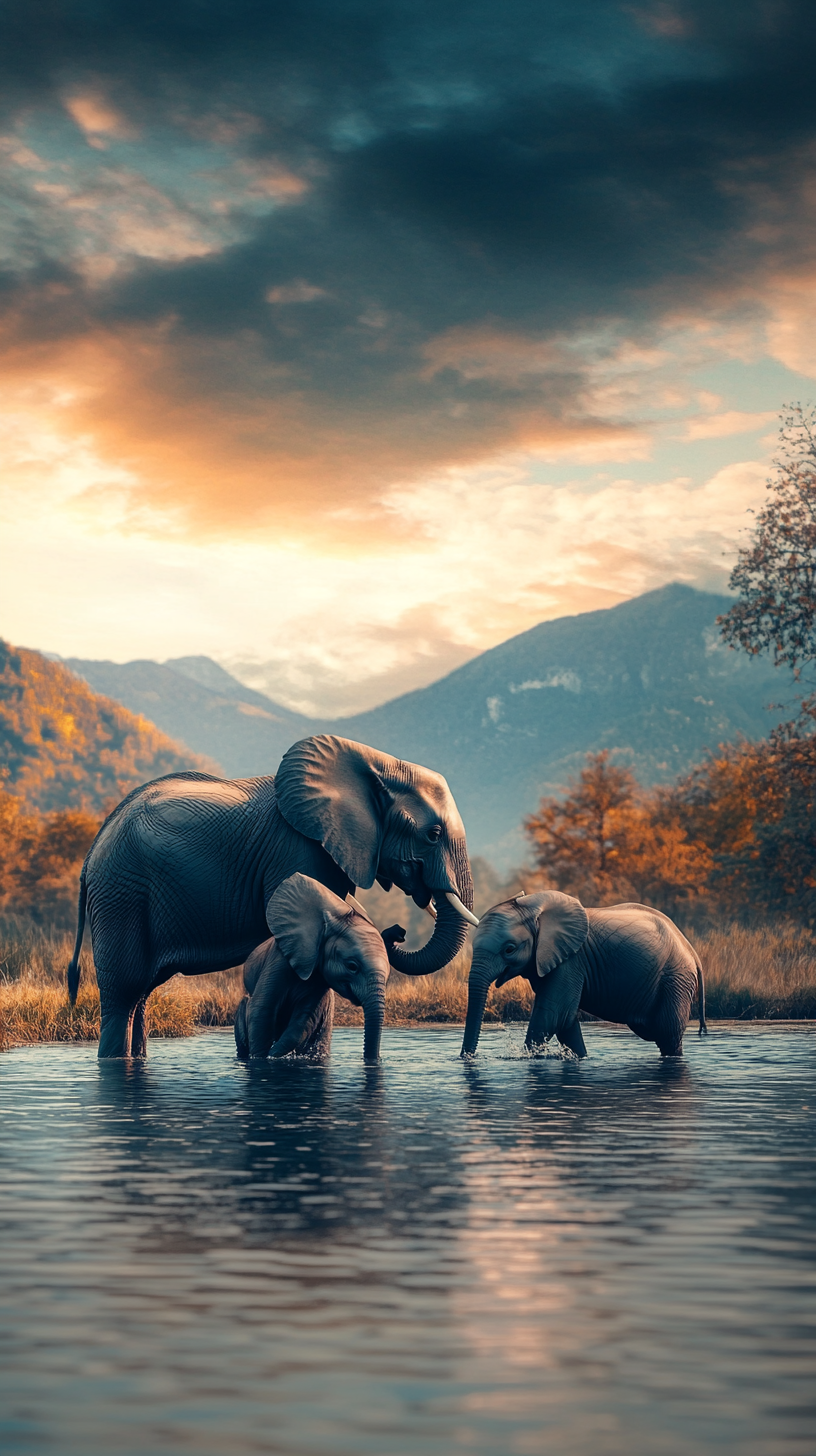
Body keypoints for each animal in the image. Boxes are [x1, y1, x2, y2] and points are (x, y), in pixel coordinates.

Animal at [233, 867, 393, 1065]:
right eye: (352, 966)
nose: (373, 1060)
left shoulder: (321, 979)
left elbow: (304, 1019)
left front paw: (274, 1054)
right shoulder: (279, 960)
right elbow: (261, 1012)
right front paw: (263, 1058)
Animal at [463, 885, 705, 1059]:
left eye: (509, 949)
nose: (467, 1058)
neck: (536, 912)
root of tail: (693, 952)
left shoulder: (571, 961)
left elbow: (552, 1015)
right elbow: (566, 1021)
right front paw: (579, 1058)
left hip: (676, 980)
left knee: (667, 1034)